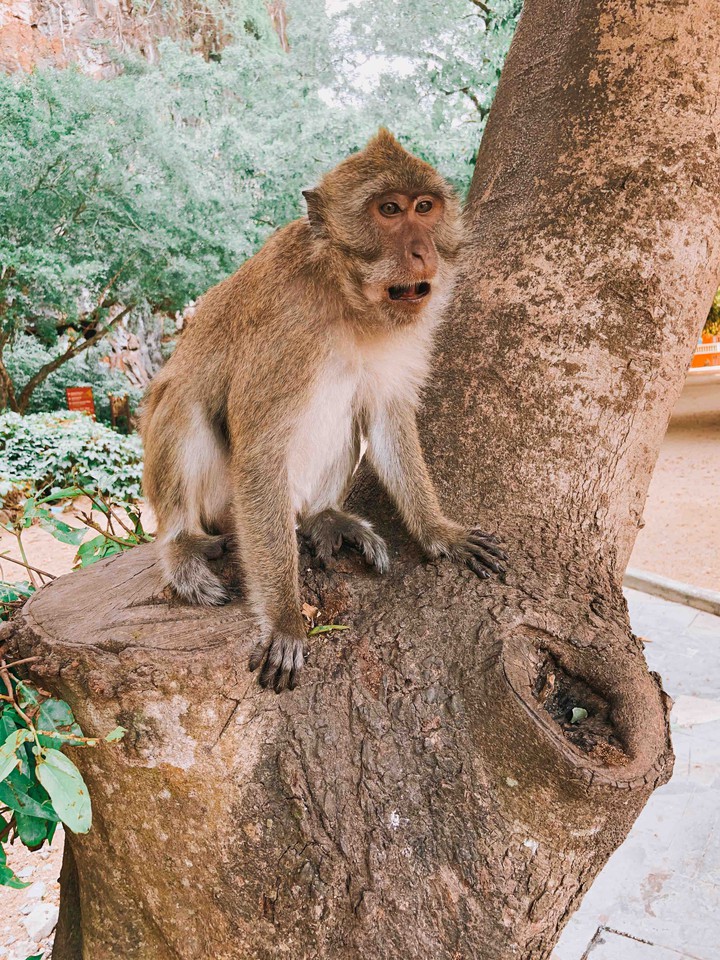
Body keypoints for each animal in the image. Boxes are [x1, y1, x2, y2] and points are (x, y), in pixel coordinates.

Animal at [140, 128, 506, 693]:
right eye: (389, 210)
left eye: (425, 207)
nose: (422, 251)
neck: (346, 296)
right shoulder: (285, 326)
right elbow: (260, 452)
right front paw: (287, 621)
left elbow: (386, 418)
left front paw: (439, 531)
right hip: (226, 508)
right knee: (183, 400)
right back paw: (181, 544)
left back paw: (324, 518)